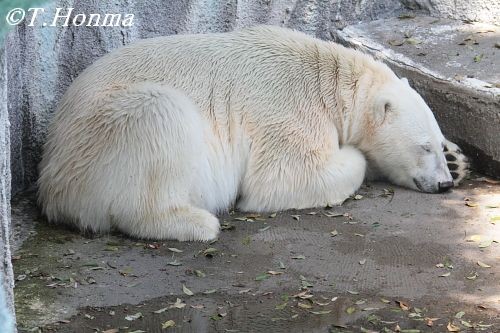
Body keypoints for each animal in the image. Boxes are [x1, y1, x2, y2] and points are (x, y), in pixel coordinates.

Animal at [38, 25, 468, 239]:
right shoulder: (289, 109)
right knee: (161, 116)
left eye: (435, 142)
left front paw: (458, 160)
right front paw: (351, 154)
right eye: (423, 147)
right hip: (107, 130)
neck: (330, 80)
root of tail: (50, 179)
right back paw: (197, 224)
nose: (444, 184)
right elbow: (284, 177)